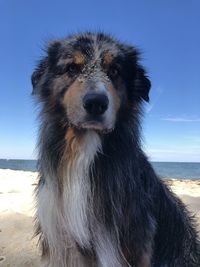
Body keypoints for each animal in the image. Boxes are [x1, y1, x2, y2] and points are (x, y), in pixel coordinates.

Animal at [31, 33, 200, 267]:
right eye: (72, 68)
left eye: (115, 71)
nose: (96, 103)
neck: (86, 148)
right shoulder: (62, 238)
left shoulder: (130, 242)